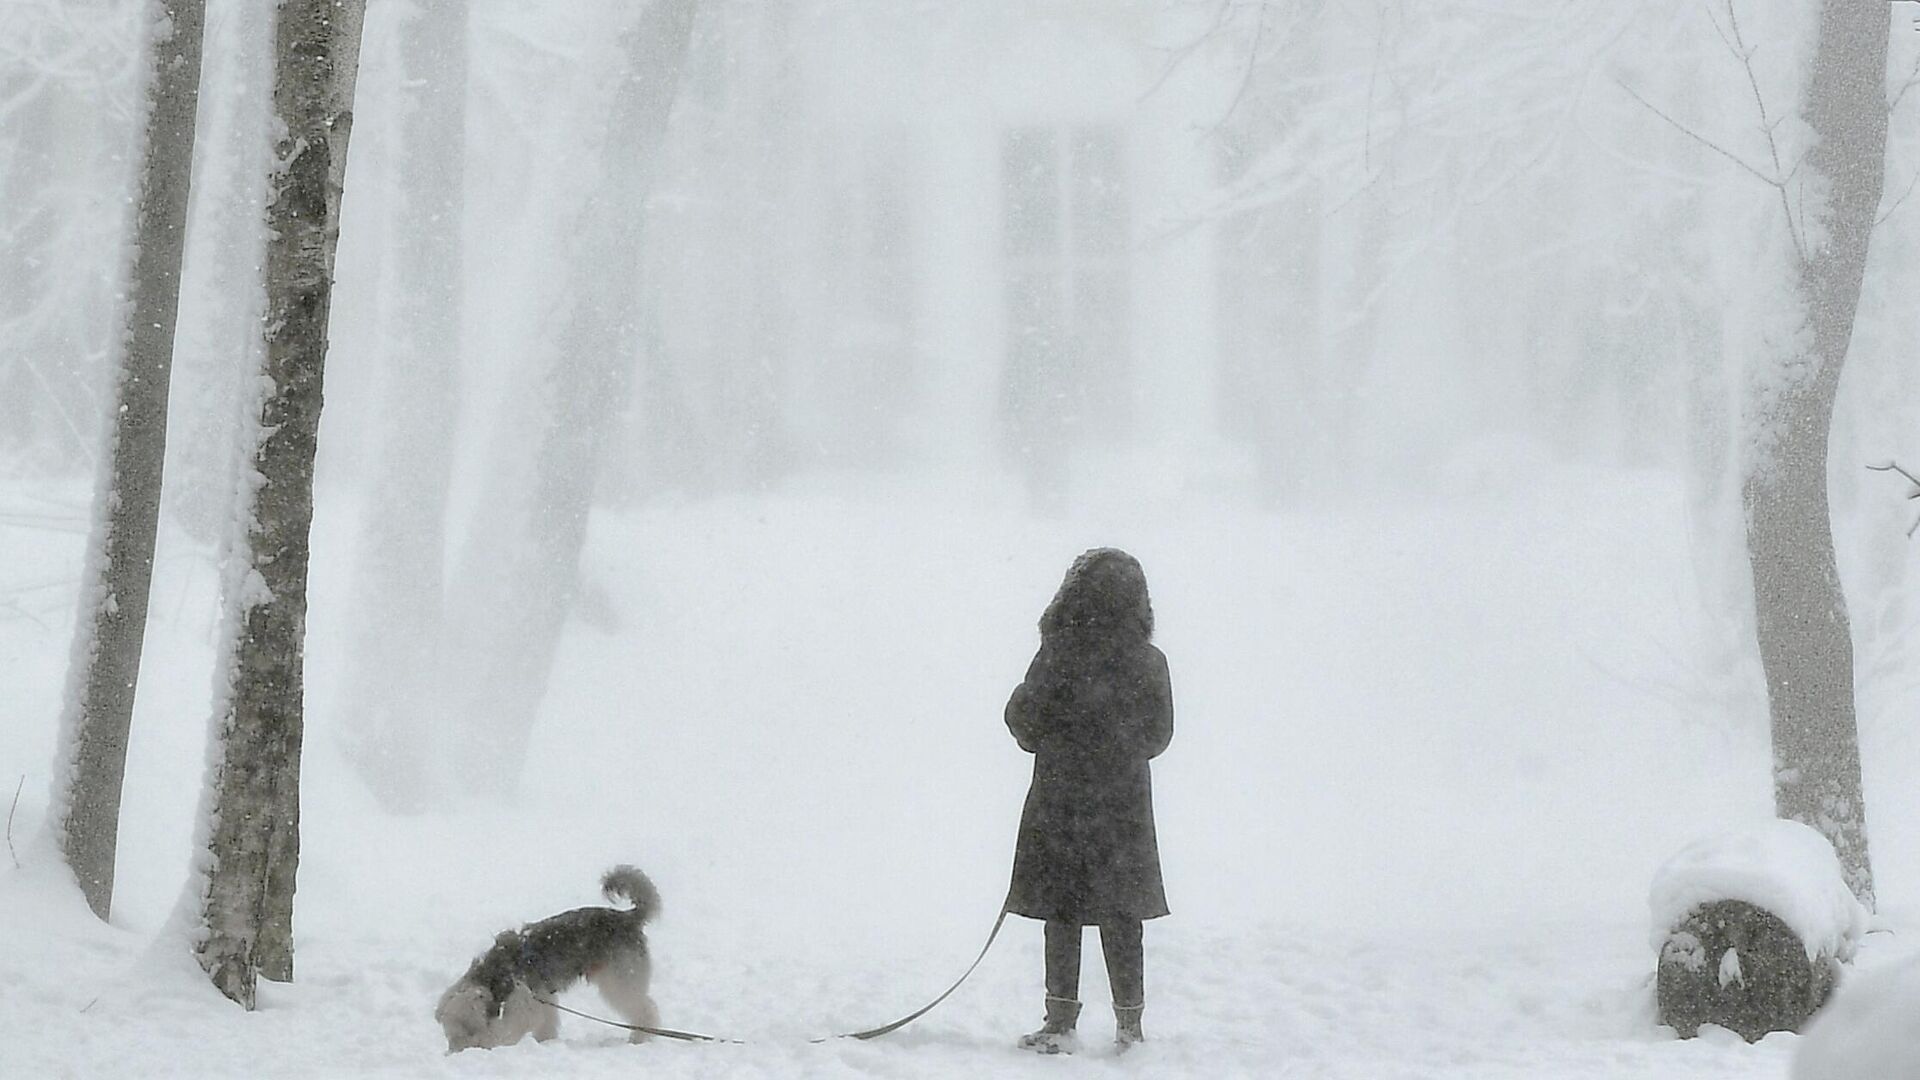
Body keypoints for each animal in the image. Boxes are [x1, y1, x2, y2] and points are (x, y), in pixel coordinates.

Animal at [433, 860, 660, 1045]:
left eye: (466, 1030)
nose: (453, 1050)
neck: (499, 971)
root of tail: (628, 918)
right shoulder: (543, 997)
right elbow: (546, 1022)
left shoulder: (524, 1003)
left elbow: (507, 1029)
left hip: (620, 980)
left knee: (645, 1009)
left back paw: (639, 1038)